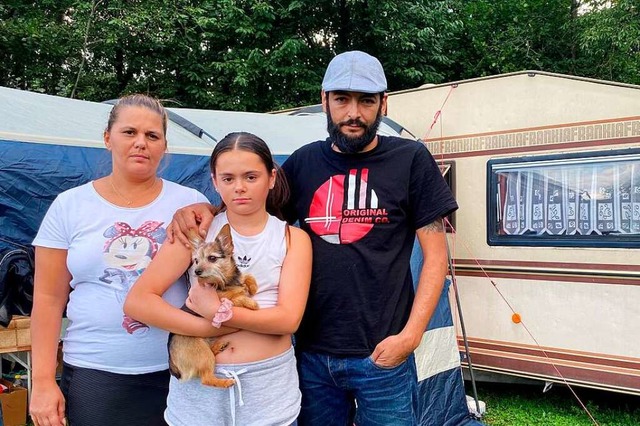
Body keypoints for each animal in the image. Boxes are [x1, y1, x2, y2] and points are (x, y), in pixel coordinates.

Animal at [171, 225, 262, 388]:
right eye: (196, 261)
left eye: (212, 258)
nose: (196, 272)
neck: (224, 282)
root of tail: (172, 362)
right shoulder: (221, 303)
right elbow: (237, 298)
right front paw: (250, 302)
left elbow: (246, 276)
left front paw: (252, 286)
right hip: (202, 352)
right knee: (206, 378)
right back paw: (226, 382)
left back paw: (219, 346)